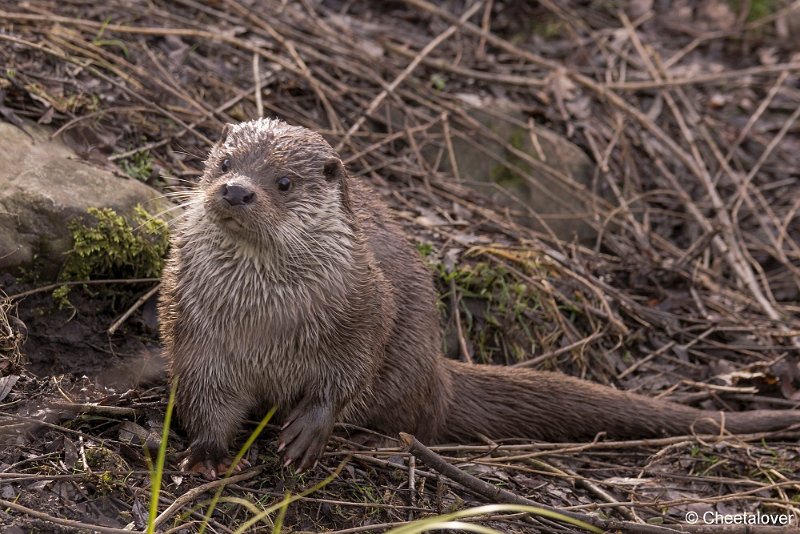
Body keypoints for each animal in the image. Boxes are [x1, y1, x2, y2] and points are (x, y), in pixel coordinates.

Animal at [159, 119, 800, 480]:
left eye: (284, 182)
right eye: (224, 163)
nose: (236, 190)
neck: (267, 321)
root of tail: (439, 370)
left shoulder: (364, 307)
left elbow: (348, 373)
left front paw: (307, 432)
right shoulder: (198, 328)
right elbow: (205, 395)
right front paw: (207, 454)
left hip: (409, 357)